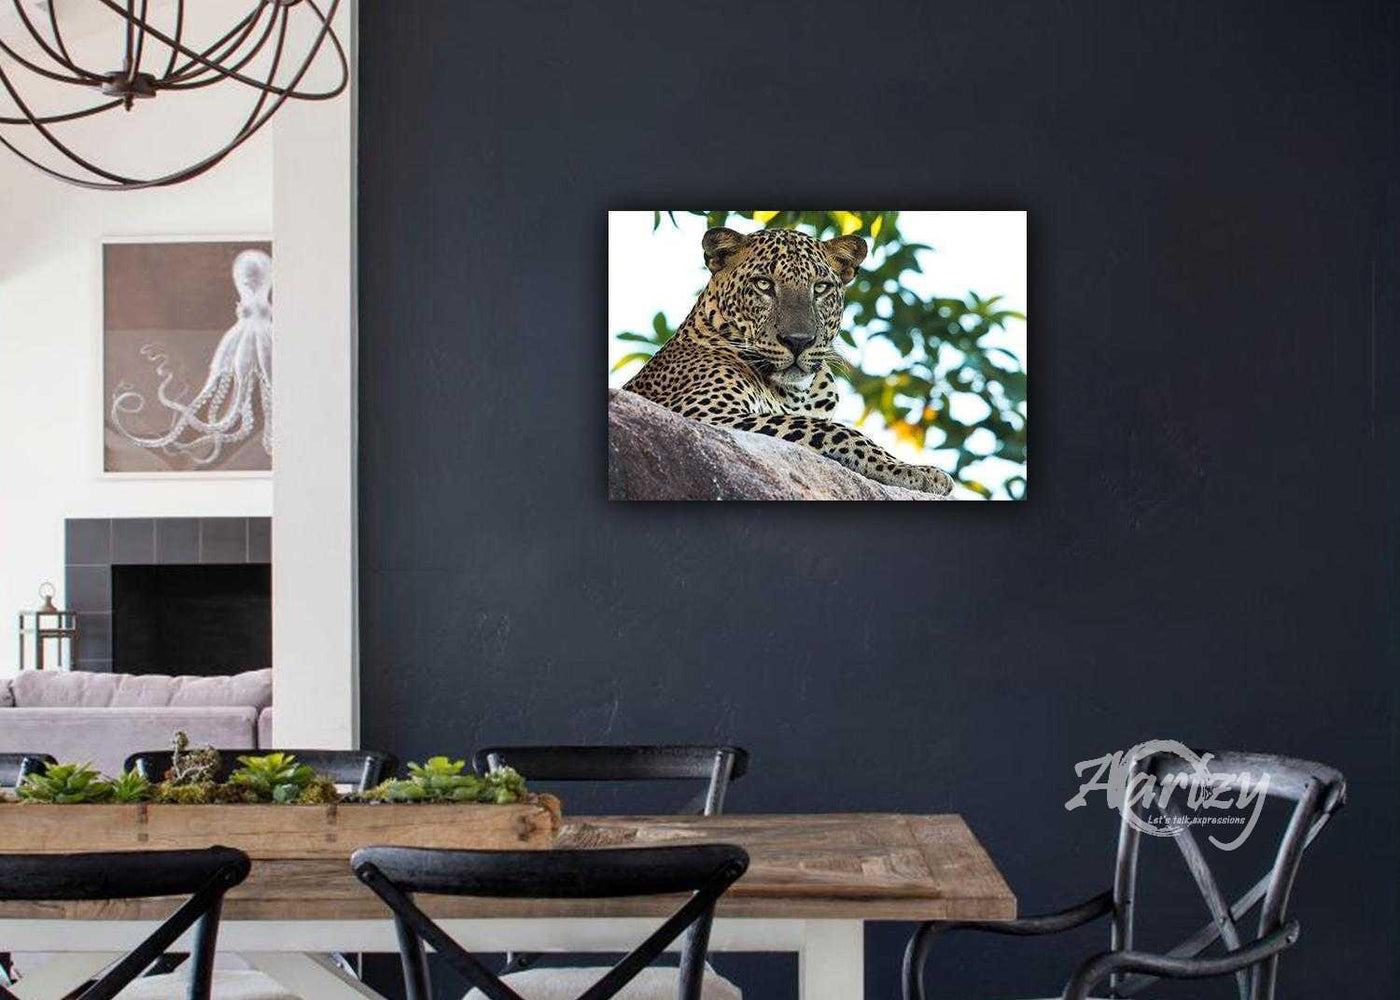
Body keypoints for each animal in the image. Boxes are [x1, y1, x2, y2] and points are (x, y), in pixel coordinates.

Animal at [624, 226, 955, 496]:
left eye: (820, 288)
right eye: (763, 285)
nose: (798, 341)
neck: (797, 393)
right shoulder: (701, 413)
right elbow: (834, 429)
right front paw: (915, 472)